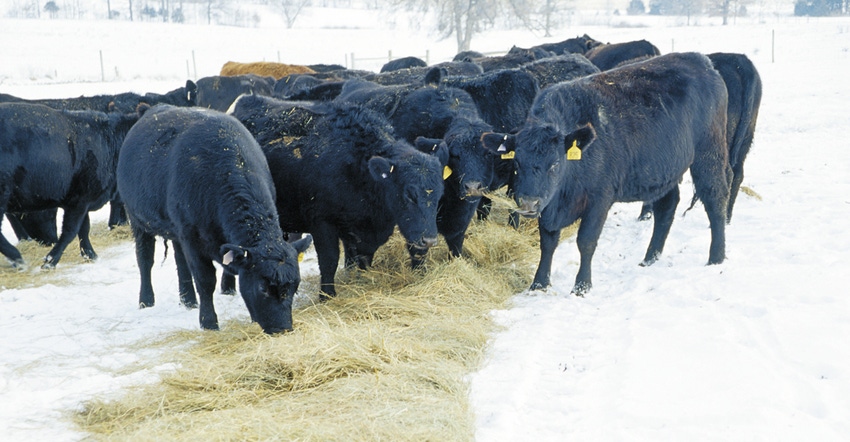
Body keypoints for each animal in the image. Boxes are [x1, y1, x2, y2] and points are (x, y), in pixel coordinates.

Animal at [0, 102, 139, 270]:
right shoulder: (79, 200)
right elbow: (70, 231)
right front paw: (50, 261)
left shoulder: (84, 201)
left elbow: (84, 229)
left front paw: (90, 254)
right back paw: (17, 258)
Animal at [114, 104, 310, 332]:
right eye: (263, 288)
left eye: (295, 285)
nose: (283, 328)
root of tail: (151, 108)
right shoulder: (192, 239)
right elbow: (205, 280)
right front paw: (208, 322)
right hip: (139, 221)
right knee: (145, 259)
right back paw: (146, 300)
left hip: (176, 230)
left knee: (180, 261)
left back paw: (188, 300)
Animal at [229, 95, 448, 298]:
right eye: (408, 195)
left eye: (439, 194)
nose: (429, 240)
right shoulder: (322, 222)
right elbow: (329, 260)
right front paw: (327, 295)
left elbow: (362, 259)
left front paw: (359, 281)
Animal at [484, 53, 728, 296]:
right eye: (517, 162)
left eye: (554, 164)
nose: (528, 203)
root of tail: (702, 61)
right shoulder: (549, 206)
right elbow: (548, 242)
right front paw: (539, 283)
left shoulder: (598, 200)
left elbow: (586, 241)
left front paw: (582, 286)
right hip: (664, 170)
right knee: (666, 208)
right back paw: (650, 258)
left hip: (709, 154)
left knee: (715, 199)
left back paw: (716, 257)